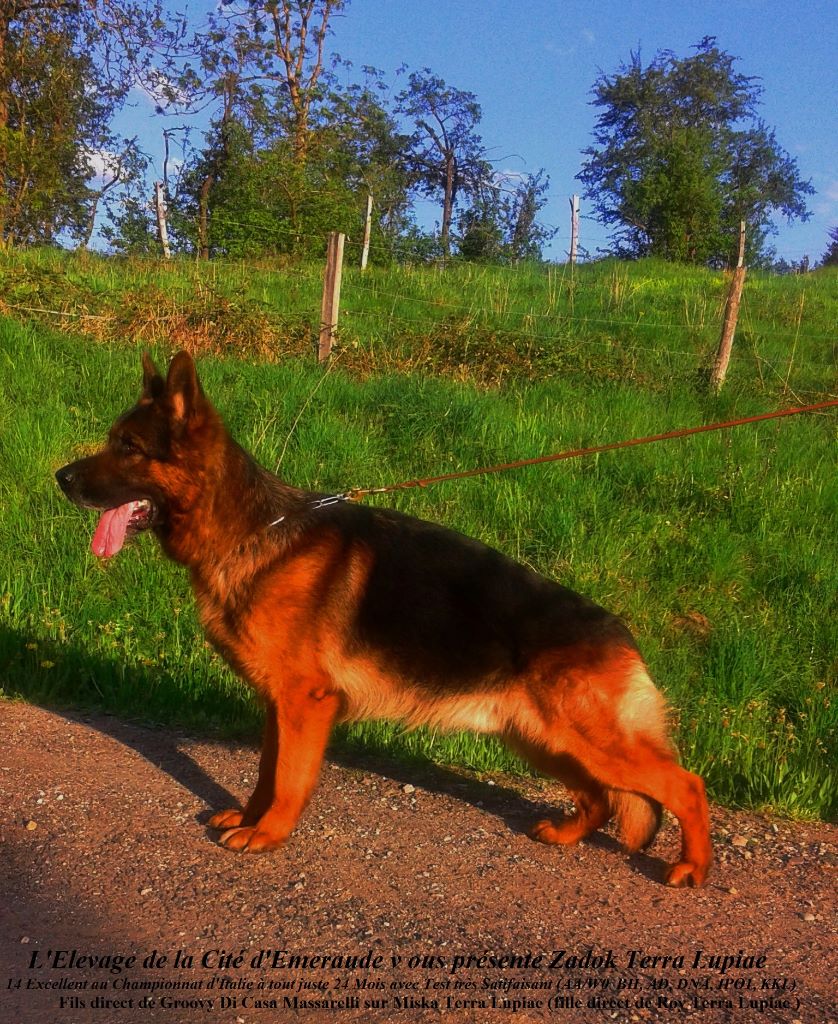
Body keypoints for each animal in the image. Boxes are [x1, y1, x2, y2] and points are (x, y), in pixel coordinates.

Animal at [57, 352, 713, 888]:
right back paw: (569, 834)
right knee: (600, 799)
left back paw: (691, 868)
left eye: (129, 448)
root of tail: (619, 633)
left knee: (686, 785)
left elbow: (289, 778)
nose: (60, 477)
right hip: (541, 739)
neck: (250, 532)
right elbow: (267, 772)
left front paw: (268, 835)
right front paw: (251, 816)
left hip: (585, 740)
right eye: (113, 440)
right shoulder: (278, 705)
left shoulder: (306, 704)